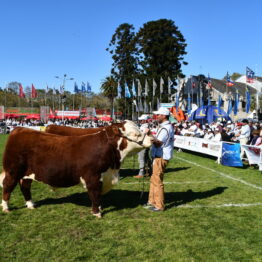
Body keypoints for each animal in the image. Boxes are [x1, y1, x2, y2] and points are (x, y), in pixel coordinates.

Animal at [0, 120, 152, 217]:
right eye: (135, 134)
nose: (152, 139)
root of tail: (19, 129)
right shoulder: (93, 177)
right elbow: (95, 194)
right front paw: (97, 212)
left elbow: (97, 195)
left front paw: (99, 208)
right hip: (13, 171)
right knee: (8, 186)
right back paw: (6, 207)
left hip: (28, 173)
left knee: (25, 187)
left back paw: (31, 204)